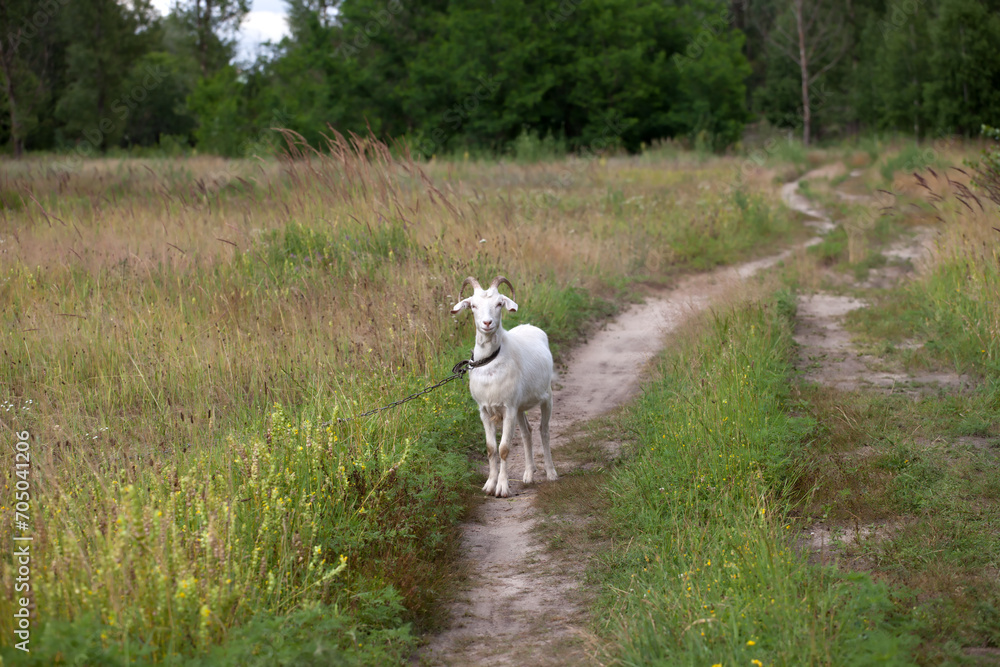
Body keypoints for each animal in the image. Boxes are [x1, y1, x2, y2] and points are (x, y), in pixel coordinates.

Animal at [451, 275, 557, 498]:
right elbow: (491, 449)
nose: (487, 323)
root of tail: (530, 326)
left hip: (547, 397)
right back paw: (528, 474)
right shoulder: (484, 410)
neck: (492, 362)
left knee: (544, 431)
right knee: (527, 433)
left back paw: (551, 473)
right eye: (473, 305)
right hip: (521, 407)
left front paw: (502, 488)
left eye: (499, 303)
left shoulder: (508, 409)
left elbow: (504, 448)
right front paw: (489, 485)